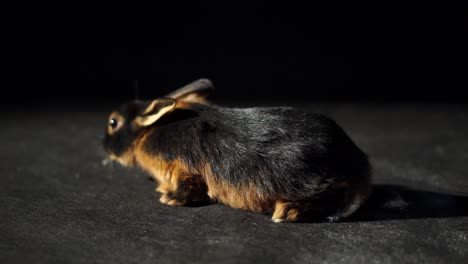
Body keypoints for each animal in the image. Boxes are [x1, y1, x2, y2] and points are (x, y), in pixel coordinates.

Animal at [103, 79, 372, 223]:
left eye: (113, 122)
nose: (103, 147)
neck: (150, 131)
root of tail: (358, 161)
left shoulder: (183, 168)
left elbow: (189, 187)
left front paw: (170, 198)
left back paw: (288, 211)